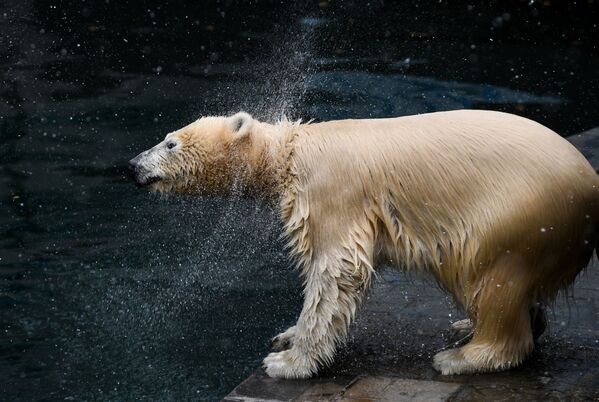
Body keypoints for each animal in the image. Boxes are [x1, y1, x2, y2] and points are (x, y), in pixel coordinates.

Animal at [129, 110, 596, 380]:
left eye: (170, 141)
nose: (132, 166)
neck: (287, 153)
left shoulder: (331, 193)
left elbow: (335, 272)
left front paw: (288, 362)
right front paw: (286, 336)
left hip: (519, 215)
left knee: (497, 276)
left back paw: (461, 356)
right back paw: (469, 325)